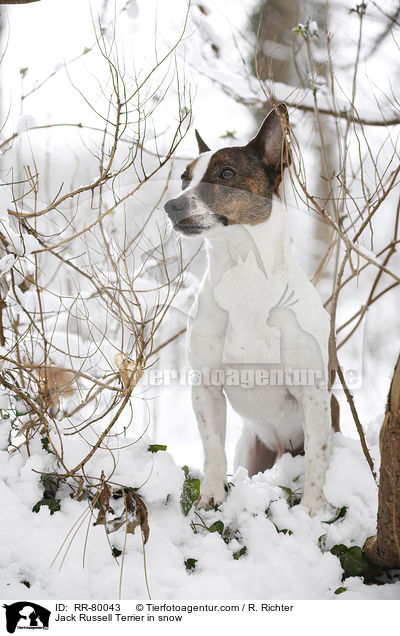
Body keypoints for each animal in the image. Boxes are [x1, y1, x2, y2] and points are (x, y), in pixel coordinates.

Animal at [163, 102, 332, 516]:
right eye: (184, 179)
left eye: (227, 173)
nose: (172, 206)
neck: (242, 273)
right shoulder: (206, 387)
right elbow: (212, 448)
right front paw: (211, 495)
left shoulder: (313, 395)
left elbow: (318, 457)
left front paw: (312, 510)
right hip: (251, 450)